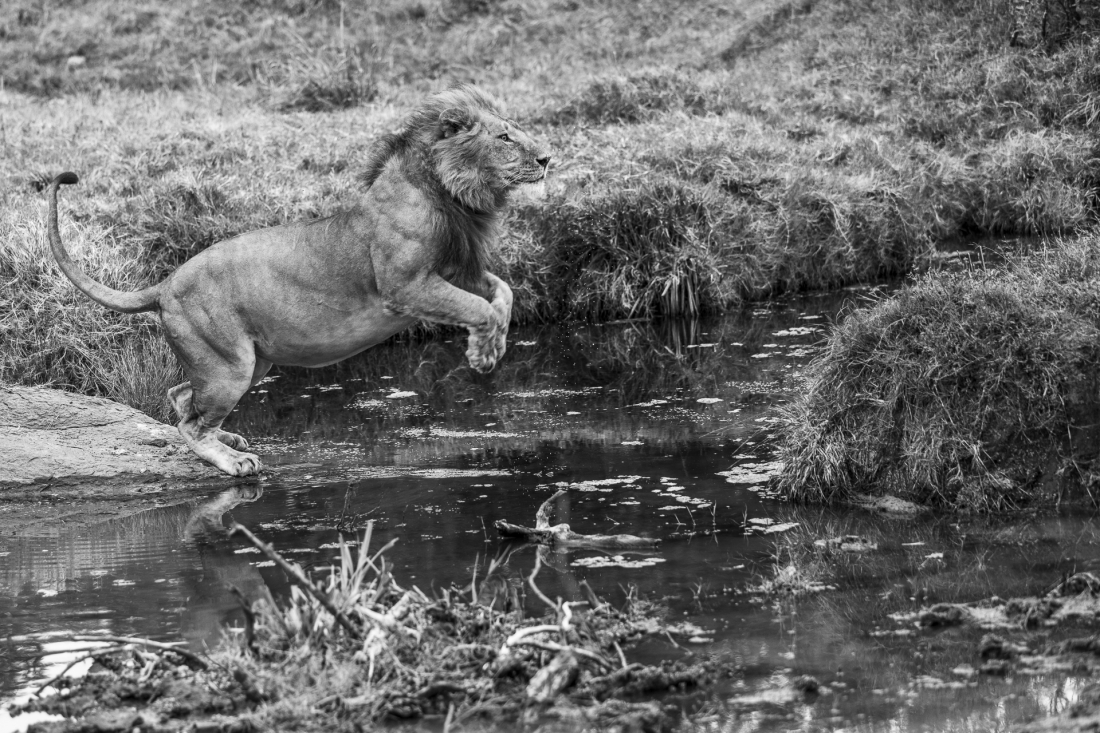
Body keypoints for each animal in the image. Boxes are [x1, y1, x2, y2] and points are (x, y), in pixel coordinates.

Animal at [47, 84, 551, 477]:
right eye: (505, 137)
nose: (548, 158)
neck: (452, 197)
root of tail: (165, 284)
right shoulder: (406, 286)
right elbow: (480, 307)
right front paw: (483, 356)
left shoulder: (455, 272)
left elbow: (504, 293)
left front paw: (495, 345)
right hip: (229, 366)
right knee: (189, 423)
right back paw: (233, 459)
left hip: (251, 363)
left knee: (180, 394)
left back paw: (231, 438)